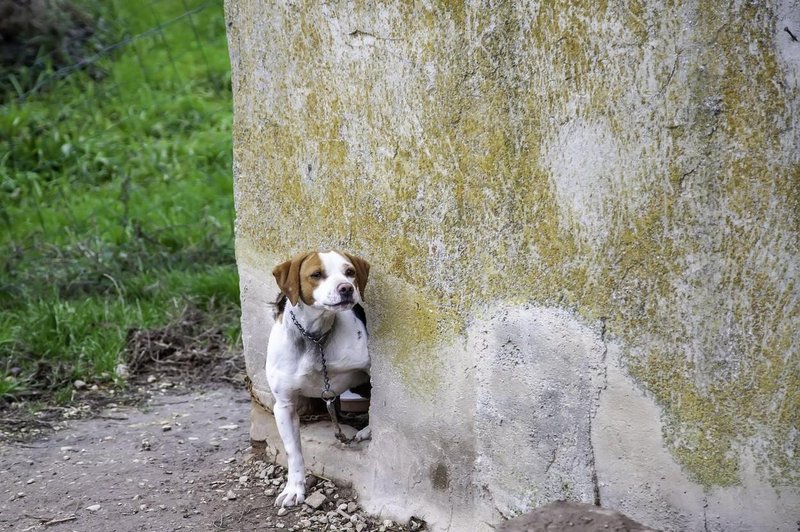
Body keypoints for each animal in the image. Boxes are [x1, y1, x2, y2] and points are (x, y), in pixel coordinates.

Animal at [268, 249, 370, 508]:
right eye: (316, 274)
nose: (346, 288)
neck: (315, 336)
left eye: (349, 272)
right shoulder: (284, 405)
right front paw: (294, 489)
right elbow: (293, 452)